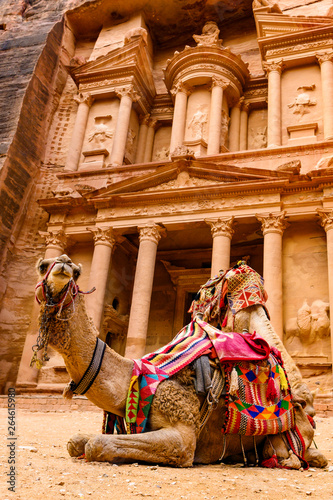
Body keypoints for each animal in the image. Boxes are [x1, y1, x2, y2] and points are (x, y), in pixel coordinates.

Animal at [32, 254, 326, 468]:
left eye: (77, 272)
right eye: (42, 265)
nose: (63, 264)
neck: (136, 376)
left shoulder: (183, 435)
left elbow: (97, 444)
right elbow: (77, 441)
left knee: (296, 455)